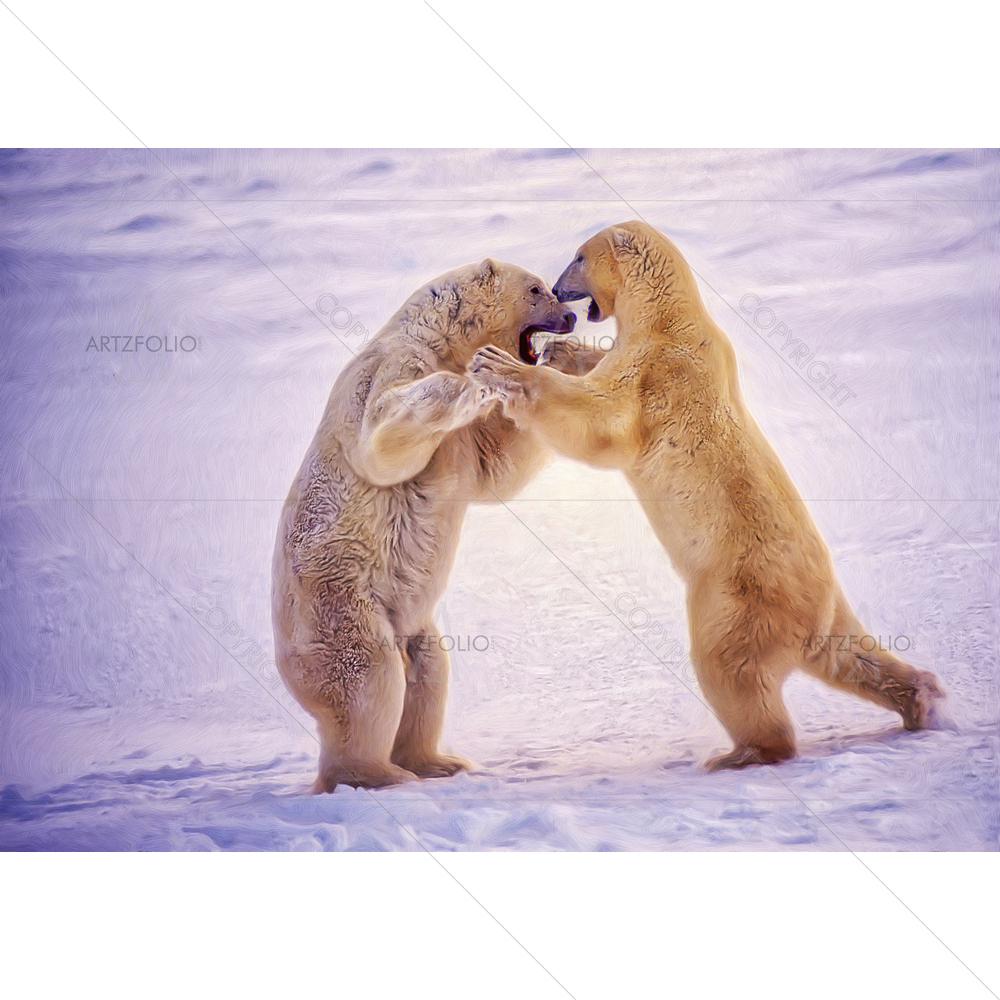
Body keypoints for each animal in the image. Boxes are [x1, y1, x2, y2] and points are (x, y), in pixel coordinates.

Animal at [272, 258, 598, 792]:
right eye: (536, 289)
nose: (570, 318)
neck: (436, 338)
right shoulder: (393, 367)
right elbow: (383, 443)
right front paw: (473, 384)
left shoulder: (462, 444)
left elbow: (495, 467)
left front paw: (558, 363)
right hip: (339, 604)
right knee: (367, 677)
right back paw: (377, 774)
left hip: (411, 622)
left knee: (429, 671)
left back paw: (438, 762)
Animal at [468, 221, 945, 769]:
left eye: (578, 257)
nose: (557, 287)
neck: (668, 318)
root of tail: (810, 609)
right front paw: (564, 352)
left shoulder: (658, 372)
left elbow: (602, 420)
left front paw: (500, 364)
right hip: (825, 609)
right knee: (851, 654)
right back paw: (924, 699)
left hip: (732, 593)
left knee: (729, 665)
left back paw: (742, 753)